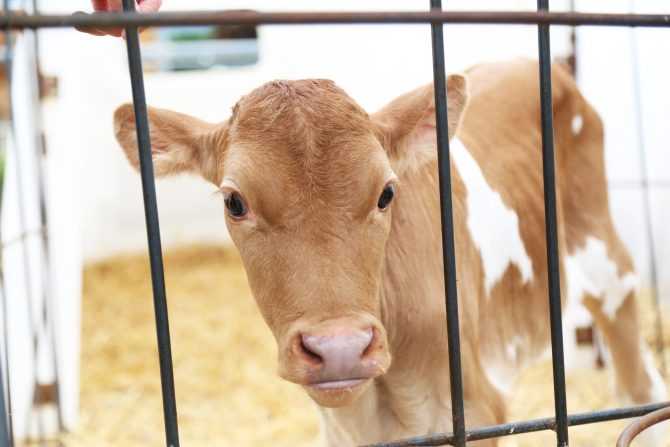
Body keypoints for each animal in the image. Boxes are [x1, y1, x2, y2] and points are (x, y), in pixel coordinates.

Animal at [112, 59, 666, 446]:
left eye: (386, 193)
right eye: (234, 202)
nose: (340, 347)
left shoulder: (473, 406)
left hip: (602, 255)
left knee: (636, 368)